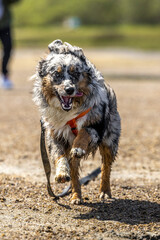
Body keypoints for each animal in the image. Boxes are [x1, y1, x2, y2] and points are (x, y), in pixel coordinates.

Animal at [32, 39, 120, 204]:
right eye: (57, 74)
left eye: (75, 73)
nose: (69, 89)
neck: (69, 111)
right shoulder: (54, 134)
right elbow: (58, 155)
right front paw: (61, 173)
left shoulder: (96, 126)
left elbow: (84, 132)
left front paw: (78, 147)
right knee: (74, 174)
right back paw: (76, 196)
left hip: (109, 141)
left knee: (105, 167)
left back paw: (105, 191)